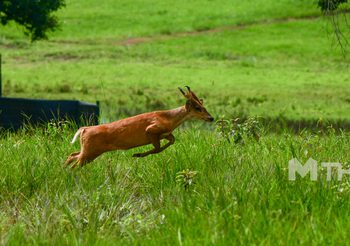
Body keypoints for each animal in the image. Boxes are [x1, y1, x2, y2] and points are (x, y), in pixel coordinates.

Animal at [64, 85, 215, 168]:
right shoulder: (151, 130)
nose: (211, 118)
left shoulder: (166, 134)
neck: (168, 119)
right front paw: (137, 154)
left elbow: (171, 141)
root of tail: (84, 129)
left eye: (204, 106)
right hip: (90, 151)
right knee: (76, 163)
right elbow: (158, 149)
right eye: (197, 108)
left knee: (72, 155)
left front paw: (138, 154)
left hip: (89, 150)